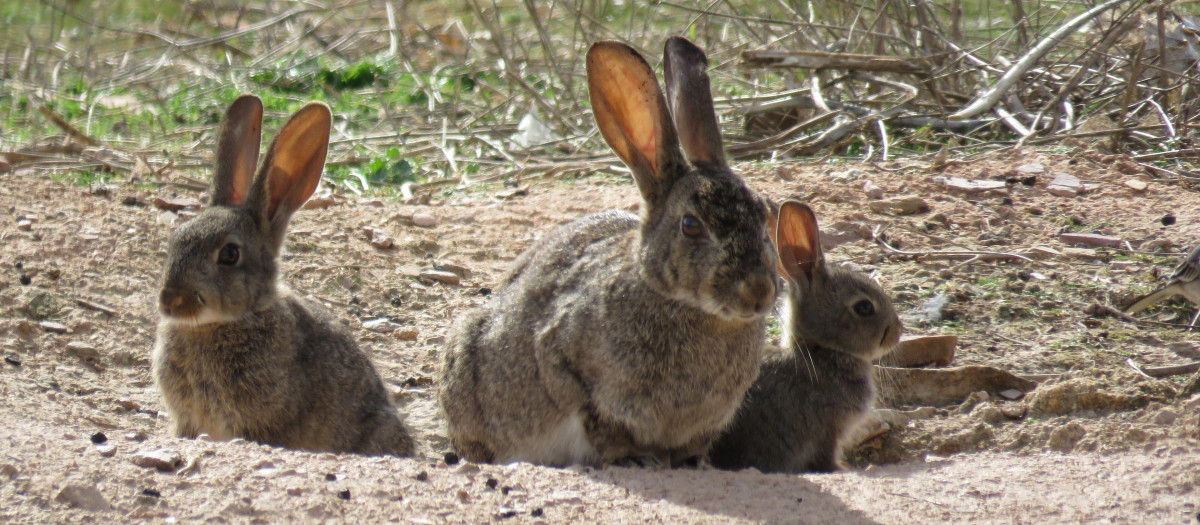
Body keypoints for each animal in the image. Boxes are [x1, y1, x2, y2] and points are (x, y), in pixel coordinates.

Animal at [438, 37, 778, 468]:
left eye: (764, 213)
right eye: (691, 225)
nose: (759, 292)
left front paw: (692, 462)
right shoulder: (566, 364)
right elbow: (598, 421)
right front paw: (632, 458)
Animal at [707, 200, 902, 473]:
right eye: (864, 307)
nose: (897, 332)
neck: (819, 349)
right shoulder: (828, 431)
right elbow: (825, 459)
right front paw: (844, 469)